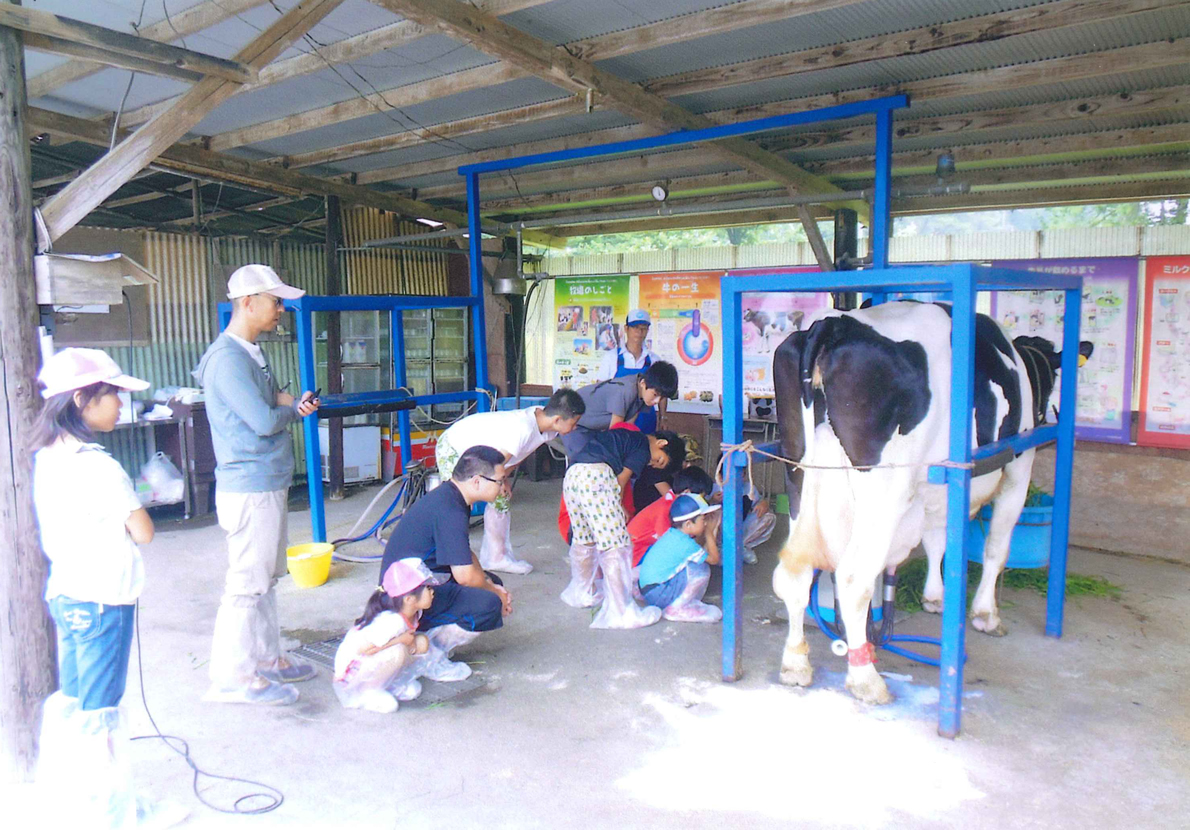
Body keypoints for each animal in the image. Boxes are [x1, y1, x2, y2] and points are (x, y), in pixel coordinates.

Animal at [771, 301, 1090, 700]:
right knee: (852, 577)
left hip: (797, 471)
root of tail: (833, 325)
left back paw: (795, 663)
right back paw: (866, 679)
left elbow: (937, 540)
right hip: (885, 487)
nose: (1051, 412)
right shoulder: (1019, 469)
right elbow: (996, 548)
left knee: (795, 572)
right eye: (1052, 379)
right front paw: (986, 614)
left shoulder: (937, 485)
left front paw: (935, 597)